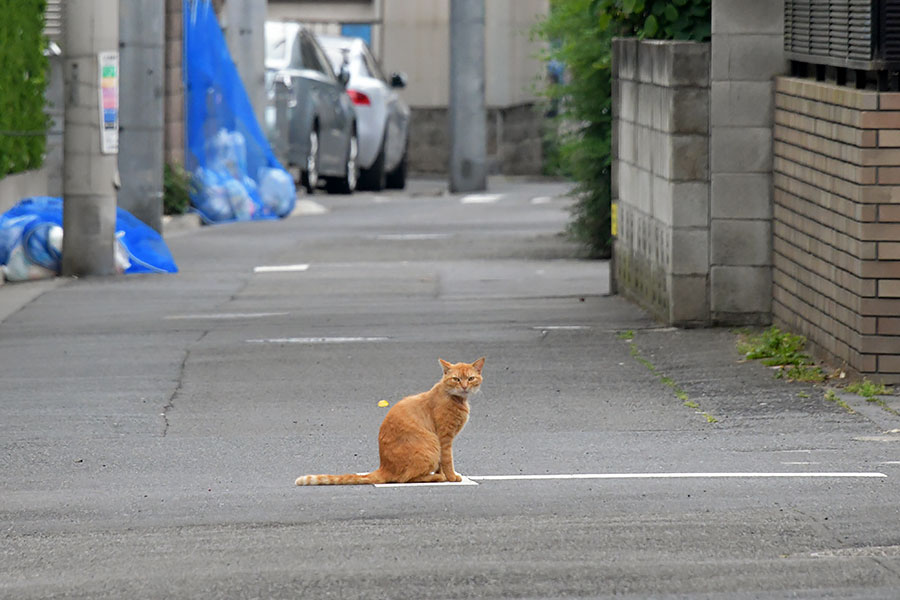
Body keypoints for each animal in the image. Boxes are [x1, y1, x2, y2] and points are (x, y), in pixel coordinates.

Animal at [298, 358, 486, 486]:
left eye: (470, 379)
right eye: (456, 379)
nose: (464, 386)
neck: (456, 399)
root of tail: (384, 467)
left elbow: (442, 463)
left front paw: (447, 476)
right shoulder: (444, 439)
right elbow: (447, 460)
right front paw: (451, 477)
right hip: (431, 445)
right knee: (407, 479)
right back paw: (436, 477)